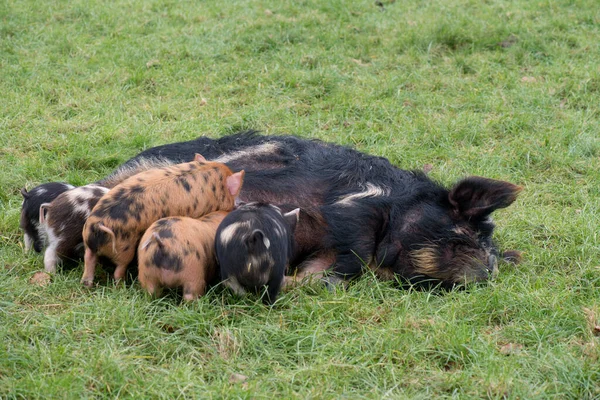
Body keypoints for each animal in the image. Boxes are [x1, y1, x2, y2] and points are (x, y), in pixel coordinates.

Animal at [81, 154, 245, 288]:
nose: (239, 203)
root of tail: (98, 225)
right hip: (123, 247)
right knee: (118, 269)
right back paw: (122, 285)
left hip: (88, 239)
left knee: (89, 258)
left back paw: (87, 285)